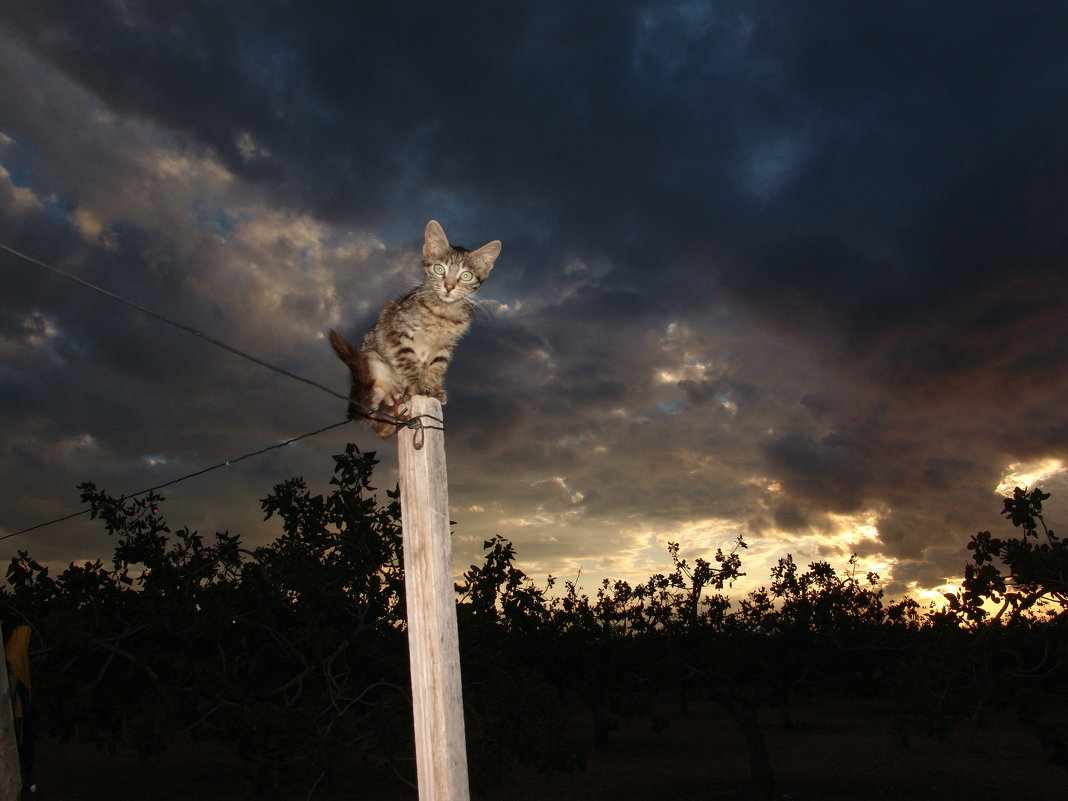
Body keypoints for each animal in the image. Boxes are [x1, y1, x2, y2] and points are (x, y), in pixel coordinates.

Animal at [328, 220, 499, 440]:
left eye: (466, 275)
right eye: (439, 269)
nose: (449, 286)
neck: (444, 312)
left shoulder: (445, 346)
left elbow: (437, 366)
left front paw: (433, 387)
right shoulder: (398, 332)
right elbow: (407, 360)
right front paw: (417, 385)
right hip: (372, 360)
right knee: (376, 410)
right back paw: (393, 394)